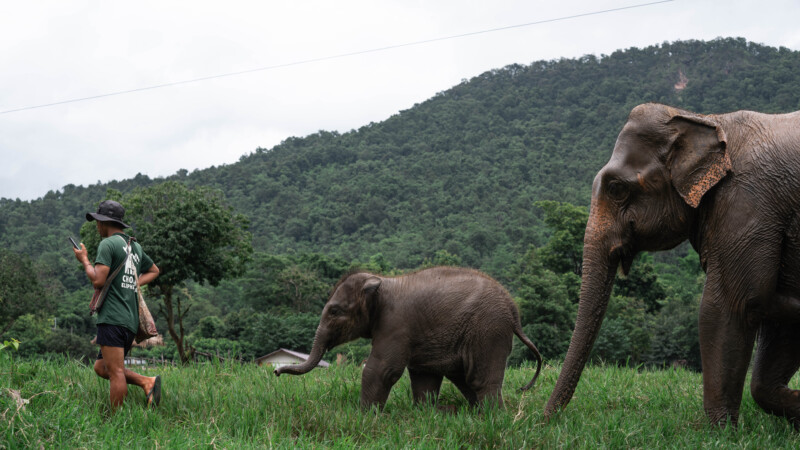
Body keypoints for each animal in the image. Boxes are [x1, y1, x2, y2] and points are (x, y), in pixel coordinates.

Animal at [274, 266, 543, 410]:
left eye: (334, 311)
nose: (276, 372)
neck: (381, 281)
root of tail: (514, 310)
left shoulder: (395, 325)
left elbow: (382, 370)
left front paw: (364, 416)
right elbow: (424, 377)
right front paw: (425, 414)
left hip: (488, 330)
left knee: (480, 379)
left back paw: (492, 417)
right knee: (465, 378)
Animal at [545, 103, 800, 428]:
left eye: (616, 188)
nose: (541, 419)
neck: (709, 120)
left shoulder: (748, 204)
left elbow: (733, 304)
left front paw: (721, 430)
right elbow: (774, 326)